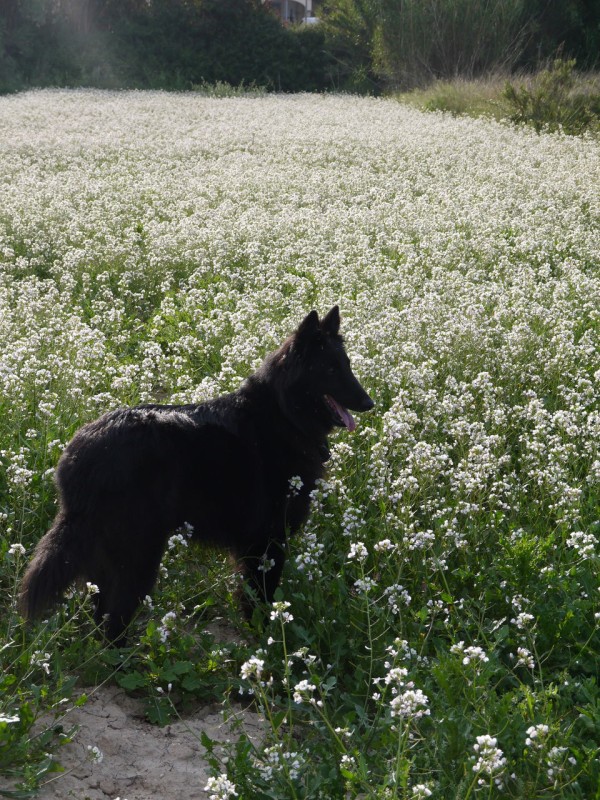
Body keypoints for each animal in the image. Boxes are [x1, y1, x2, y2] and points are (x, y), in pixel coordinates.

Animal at [18, 306, 372, 644]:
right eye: (330, 369)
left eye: (347, 365)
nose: (369, 402)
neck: (285, 415)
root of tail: (78, 452)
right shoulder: (266, 540)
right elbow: (260, 598)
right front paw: (268, 639)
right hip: (139, 553)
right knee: (114, 617)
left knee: (101, 612)